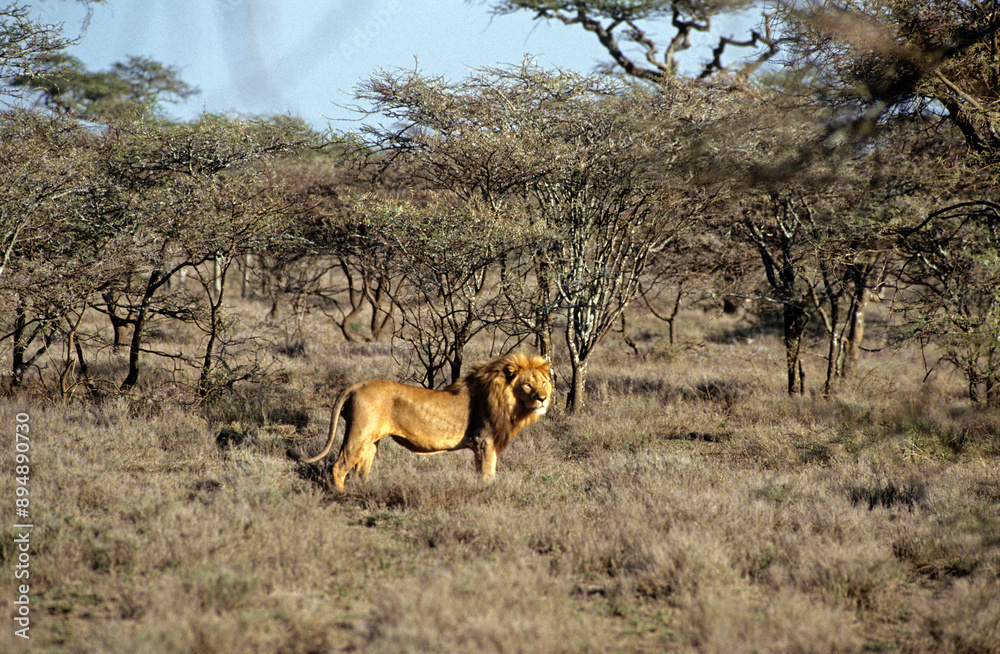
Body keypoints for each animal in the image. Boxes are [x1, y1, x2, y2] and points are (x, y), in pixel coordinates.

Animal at [287, 353, 552, 492]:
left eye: (543, 383)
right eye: (527, 385)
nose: (543, 398)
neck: (509, 402)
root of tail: (356, 385)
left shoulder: (481, 444)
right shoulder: (484, 441)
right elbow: (487, 475)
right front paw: (486, 494)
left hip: (371, 441)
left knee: (361, 472)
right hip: (359, 434)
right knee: (339, 466)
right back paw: (340, 496)